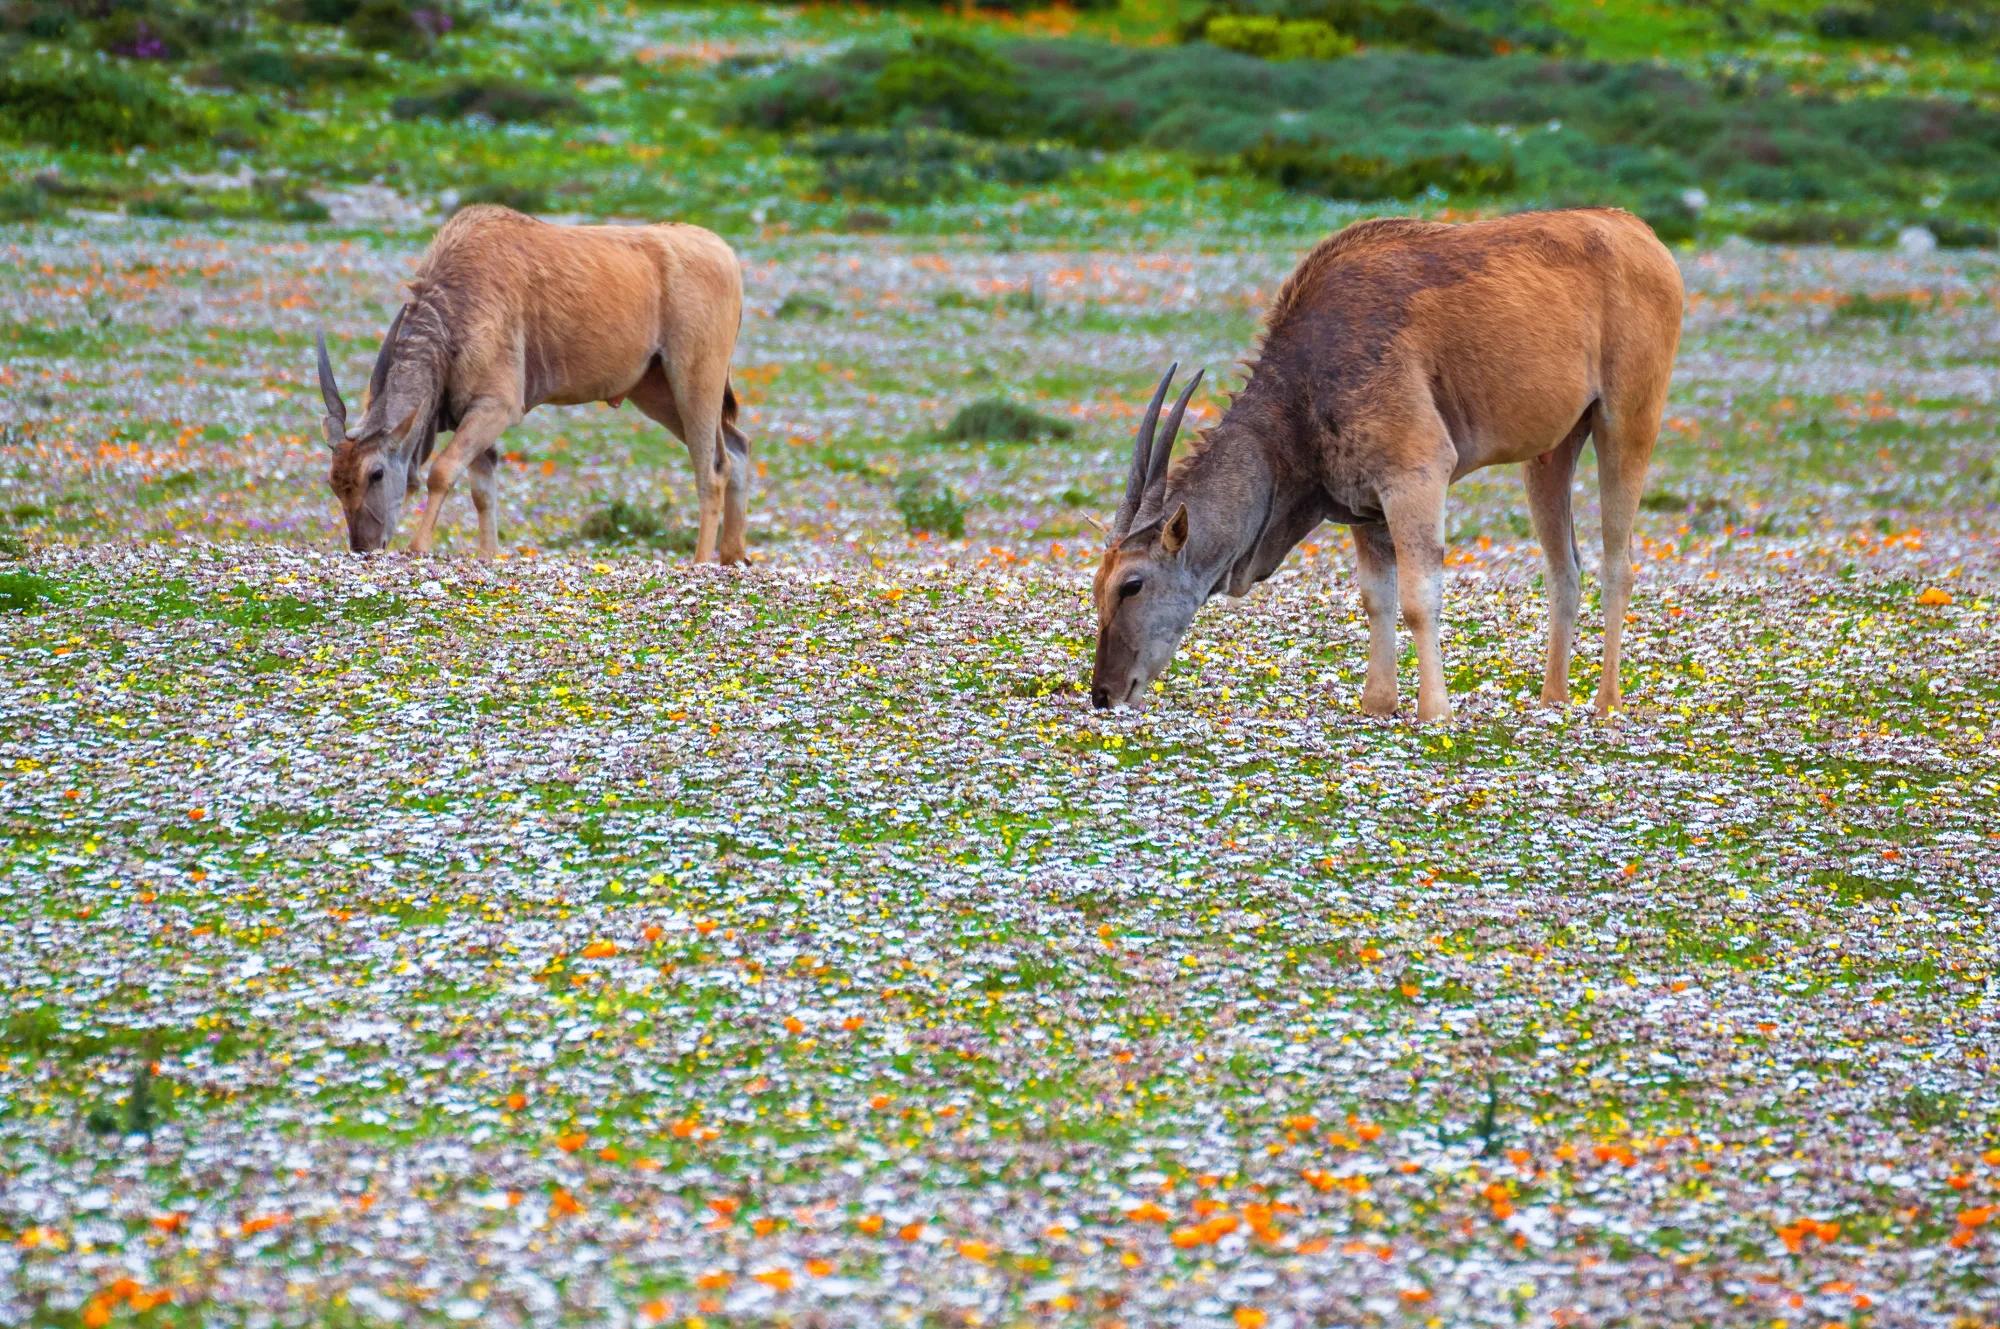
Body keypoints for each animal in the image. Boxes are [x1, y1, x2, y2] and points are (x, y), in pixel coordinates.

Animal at [312, 202, 752, 560]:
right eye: (334, 483)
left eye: (376, 474)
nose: (364, 546)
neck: (452, 310)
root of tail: (726, 254)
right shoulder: (470, 416)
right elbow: (482, 491)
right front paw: (487, 556)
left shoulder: (496, 407)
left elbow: (443, 472)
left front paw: (417, 547)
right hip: (656, 391)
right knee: (737, 446)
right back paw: (732, 556)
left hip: (694, 379)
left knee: (713, 470)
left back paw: (700, 563)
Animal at [1096, 209, 1688, 720]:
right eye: (1098, 587)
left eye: (1132, 585)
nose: (1103, 692)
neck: (1305, 387)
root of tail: (1643, 235)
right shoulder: (1365, 504)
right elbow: (1374, 598)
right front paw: (1379, 702)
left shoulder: (1414, 475)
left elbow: (1419, 598)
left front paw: (1435, 710)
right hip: (1551, 450)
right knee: (1564, 569)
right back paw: (1552, 701)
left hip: (1627, 423)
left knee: (1618, 565)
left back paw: (1607, 702)